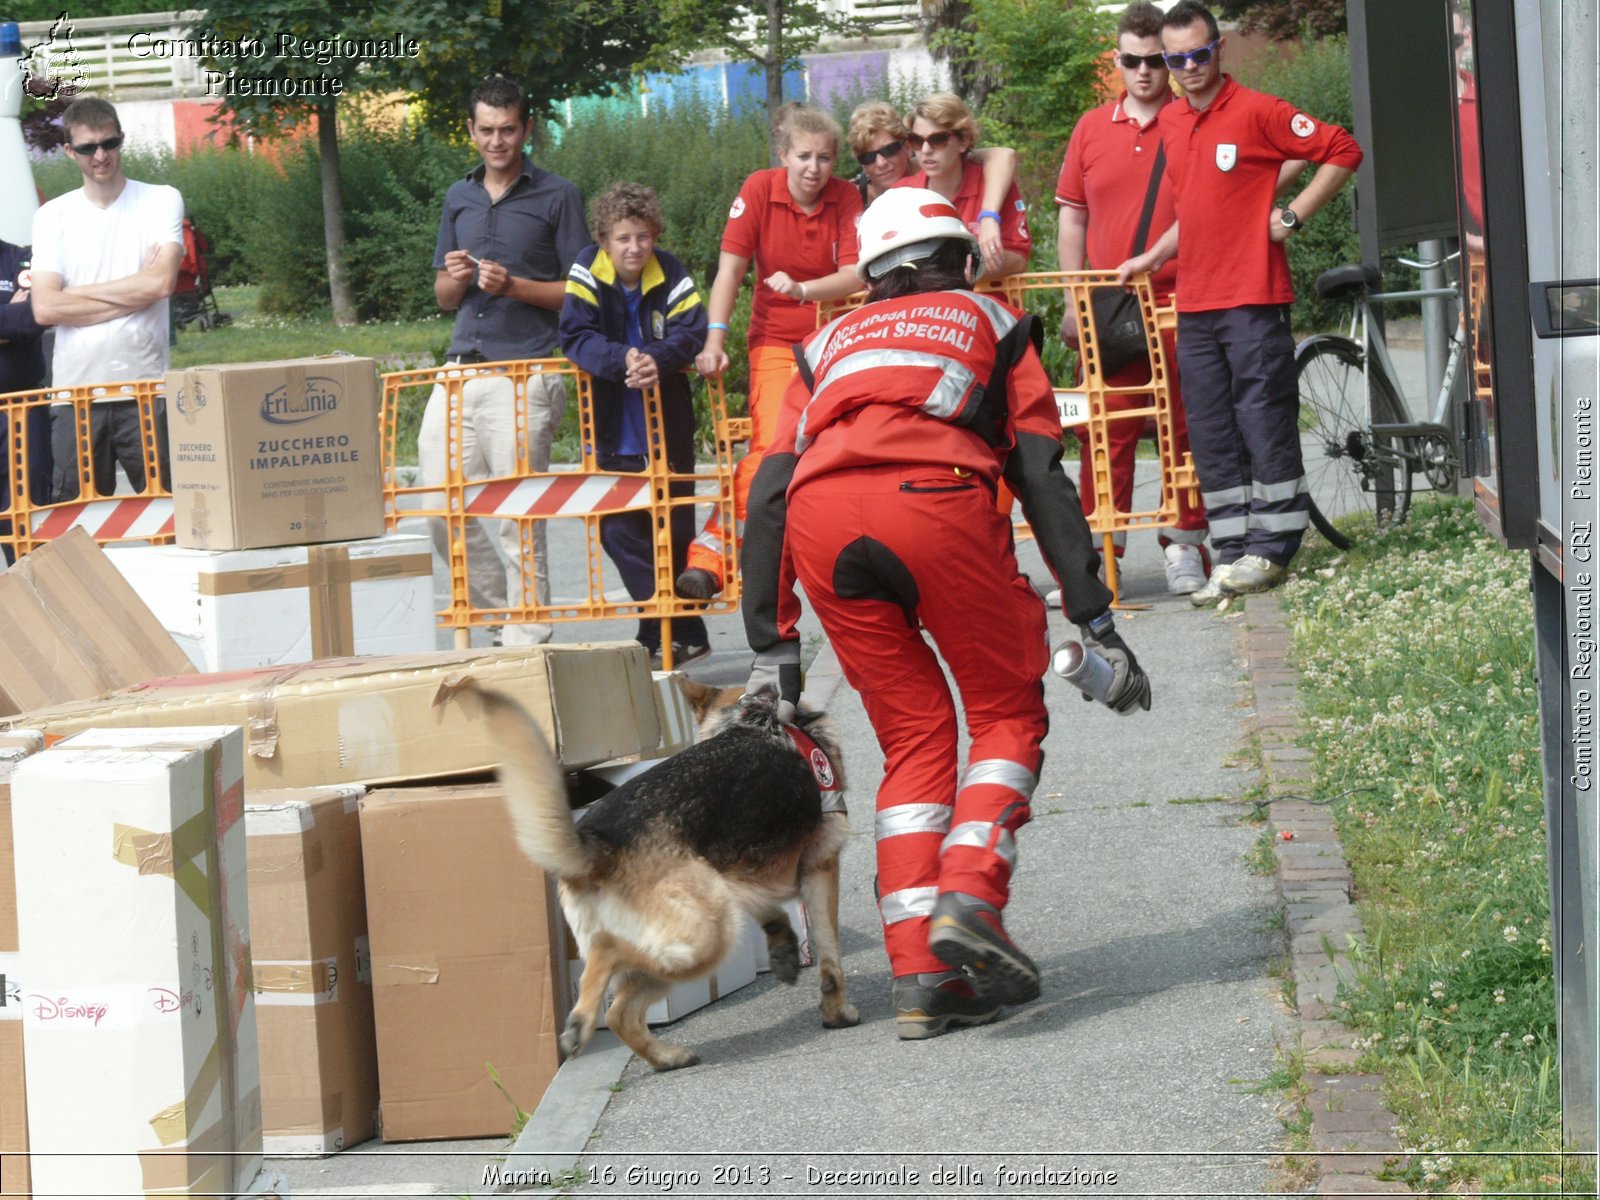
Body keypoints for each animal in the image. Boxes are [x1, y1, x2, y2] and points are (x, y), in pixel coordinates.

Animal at [480, 684, 857, 1068]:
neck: (749, 719)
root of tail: (597, 844)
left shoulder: (735, 881)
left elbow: (772, 912)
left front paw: (783, 946)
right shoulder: (821, 867)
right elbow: (831, 961)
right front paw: (837, 1013)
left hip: (694, 933)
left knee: (619, 1012)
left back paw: (665, 1057)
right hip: (710, 936)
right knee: (609, 952)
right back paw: (582, 1023)